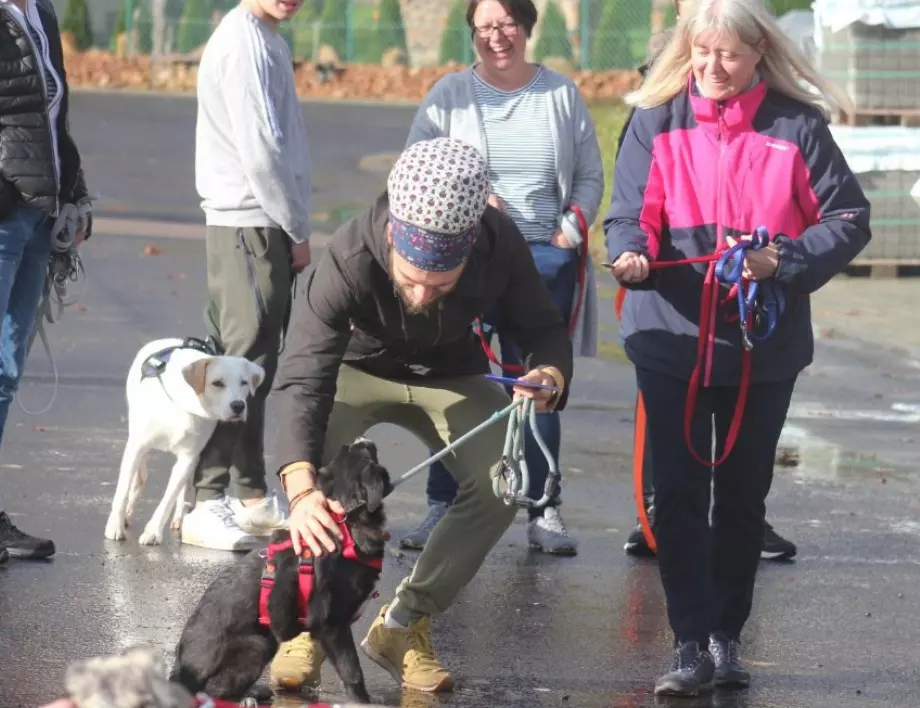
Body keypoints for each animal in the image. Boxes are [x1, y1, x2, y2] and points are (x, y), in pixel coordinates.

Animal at [106, 338, 268, 548]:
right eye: (217, 383)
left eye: (244, 382)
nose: (239, 406)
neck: (185, 404)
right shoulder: (137, 446)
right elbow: (122, 492)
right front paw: (115, 527)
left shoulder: (188, 457)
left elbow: (168, 499)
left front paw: (153, 532)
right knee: (139, 478)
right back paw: (127, 513)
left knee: (181, 487)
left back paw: (178, 518)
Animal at [169, 436, 392, 704]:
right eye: (366, 450)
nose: (363, 439)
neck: (347, 522)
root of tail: (181, 670)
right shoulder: (332, 625)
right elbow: (352, 671)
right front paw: (362, 701)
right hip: (258, 644)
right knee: (213, 690)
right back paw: (246, 697)